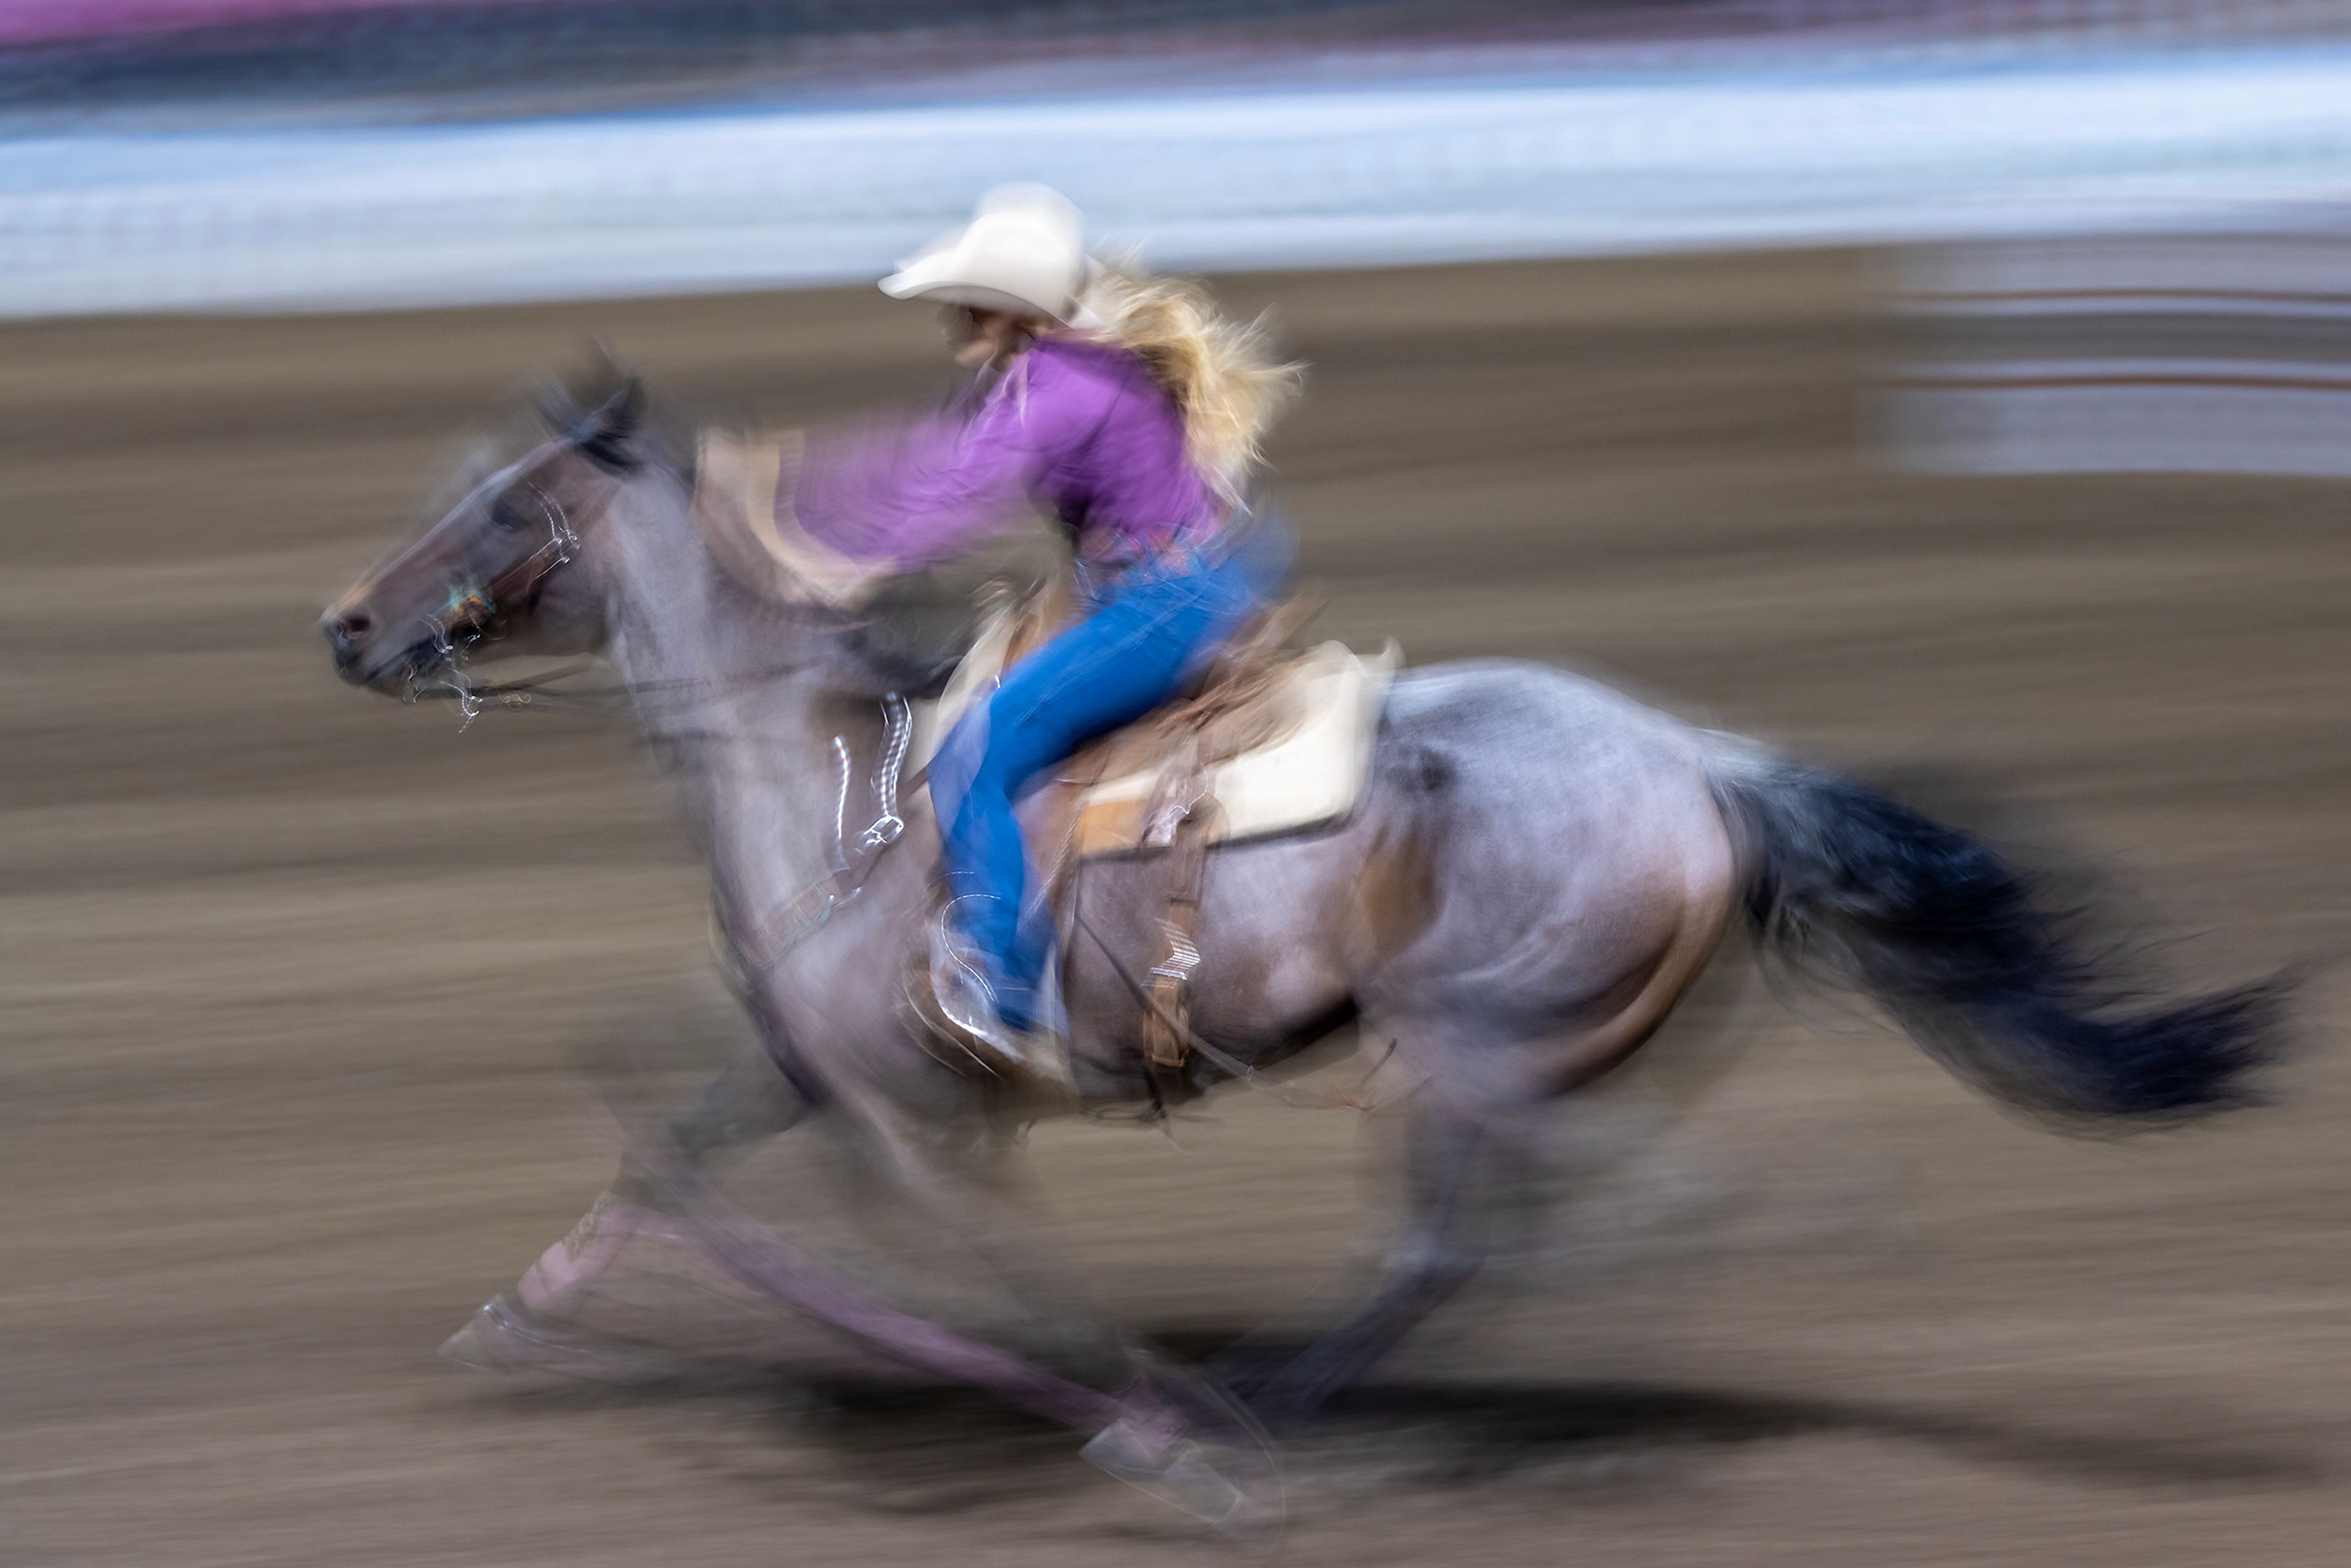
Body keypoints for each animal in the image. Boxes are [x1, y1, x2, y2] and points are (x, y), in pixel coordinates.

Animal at [322, 371, 2285, 1532]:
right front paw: (509, 1322)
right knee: (1595, 1223)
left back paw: (1270, 1426)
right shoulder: (801, 1070)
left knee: (1484, 1242)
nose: (344, 626)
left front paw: (1146, 1413)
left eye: (500, 508)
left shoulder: (917, 1121)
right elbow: (662, 1151)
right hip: (1538, 1060)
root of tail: (1703, 762)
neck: (831, 788)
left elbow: (1006, 1278)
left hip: (1473, 1052)